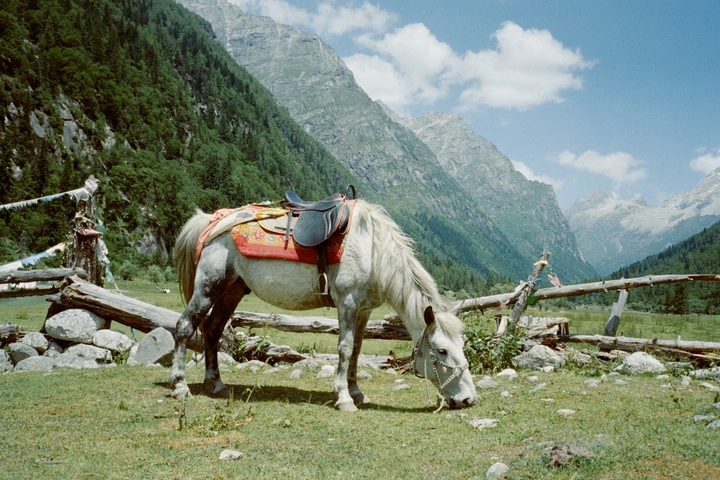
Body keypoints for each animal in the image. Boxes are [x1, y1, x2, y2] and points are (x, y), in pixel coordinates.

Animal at [169, 199, 477, 411]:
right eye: (442, 350)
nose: (469, 399)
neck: (373, 250)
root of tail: (212, 220)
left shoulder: (364, 310)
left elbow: (357, 350)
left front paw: (356, 392)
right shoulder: (348, 303)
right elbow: (344, 348)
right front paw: (344, 398)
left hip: (231, 291)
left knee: (212, 330)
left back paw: (216, 384)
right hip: (209, 286)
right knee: (185, 326)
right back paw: (180, 386)